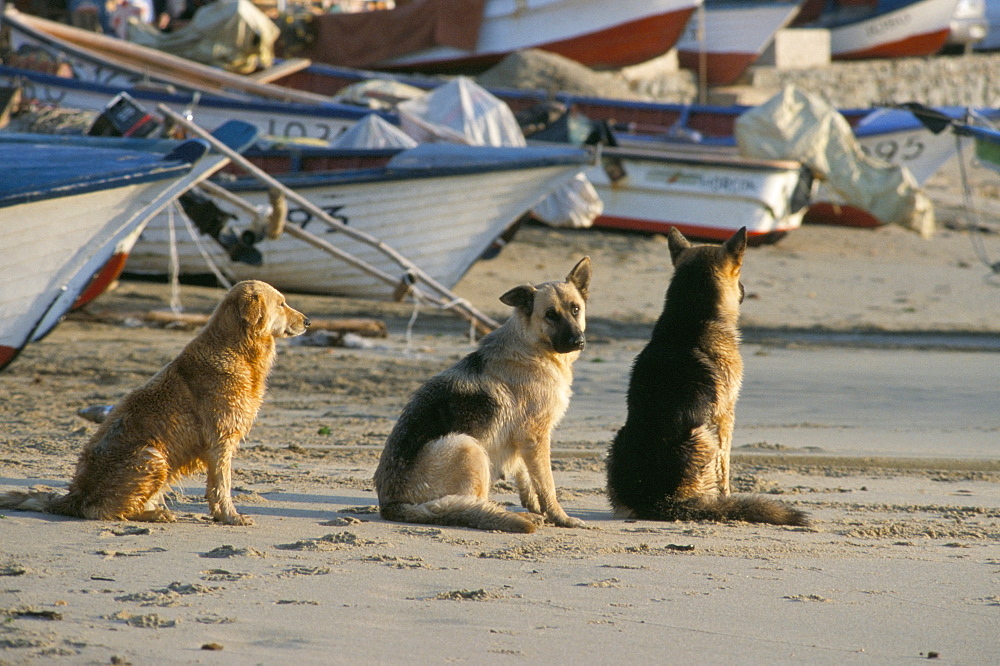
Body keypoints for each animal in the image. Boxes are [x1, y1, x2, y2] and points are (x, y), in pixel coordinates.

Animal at [0, 280, 308, 524]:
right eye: (282, 303)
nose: (308, 321)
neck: (238, 348)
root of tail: (73, 497)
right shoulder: (220, 441)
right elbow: (222, 486)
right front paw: (230, 516)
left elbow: (216, 486)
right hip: (153, 454)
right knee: (104, 511)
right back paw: (156, 514)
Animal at [376, 256, 592, 532]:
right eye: (550, 315)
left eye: (575, 309)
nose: (578, 341)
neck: (530, 348)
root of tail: (391, 505)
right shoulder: (536, 437)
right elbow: (547, 484)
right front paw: (560, 517)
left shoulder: (523, 440)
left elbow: (526, 476)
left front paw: (534, 506)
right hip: (468, 446)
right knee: (469, 503)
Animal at [604, 227, 808, 524]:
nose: (745, 289)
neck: (690, 316)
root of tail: (656, 502)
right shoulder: (726, 416)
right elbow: (726, 466)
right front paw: (727, 496)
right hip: (704, 436)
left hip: (617, 439)